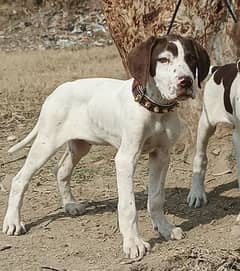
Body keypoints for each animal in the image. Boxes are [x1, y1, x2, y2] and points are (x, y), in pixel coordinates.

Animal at [2, 35, 210, 260]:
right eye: (163, 60)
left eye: (191, 59)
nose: (186, 82)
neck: (155, 109)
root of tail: (53, 94)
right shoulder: (126, 159)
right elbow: (128, 206)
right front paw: (133, 243)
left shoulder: (161, 155)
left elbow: (156, 199)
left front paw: (164, 229)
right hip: (46, 143)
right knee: (19, 179)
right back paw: (13, 222)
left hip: (80, 145)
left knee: (61, 170)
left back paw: (70, 204)